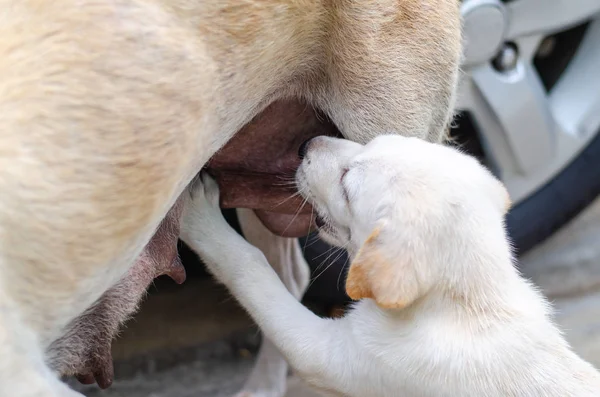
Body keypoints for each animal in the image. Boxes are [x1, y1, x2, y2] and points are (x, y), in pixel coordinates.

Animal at [182, 135, 600, 394]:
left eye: (347, 183)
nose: (304, 143)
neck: (468, 301)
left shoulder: (337, 355)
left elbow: (251, 267)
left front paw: (196, 216)